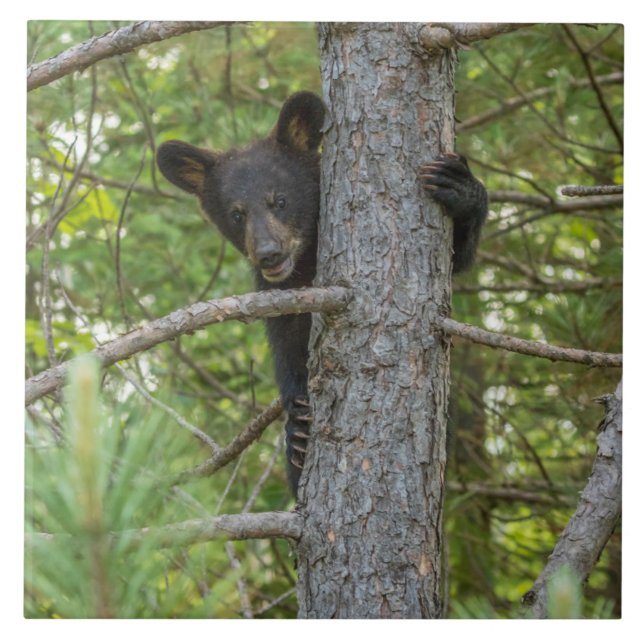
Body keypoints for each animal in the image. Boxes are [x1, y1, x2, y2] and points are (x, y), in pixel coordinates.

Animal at [156, 91, 488, 495]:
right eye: (236, 214)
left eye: (280, 200)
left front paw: (460, 186)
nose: (269, 253)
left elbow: (458, 257)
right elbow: (287, 348)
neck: (305, 262)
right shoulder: (280, 296)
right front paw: (297, 427)